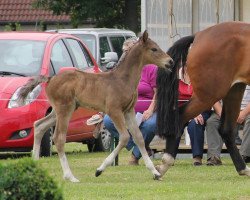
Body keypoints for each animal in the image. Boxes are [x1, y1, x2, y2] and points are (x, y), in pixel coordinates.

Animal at [18, 30, 174, 181]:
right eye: (154, 49)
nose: (170, 62)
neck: (122, 80)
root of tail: (50, 78)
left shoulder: (128, 111)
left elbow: (139, 137)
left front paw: (155, 173)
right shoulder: (114, 111)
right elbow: (124, 137)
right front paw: (99, 170)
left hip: (60, 110)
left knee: (39, 126)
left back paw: (35, 167)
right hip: (64, 109)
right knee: (58, 138)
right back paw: (70, 176)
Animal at [156, 21, 250, 178]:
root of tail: (199, 35)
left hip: (234, 89)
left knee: (226, 130)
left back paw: (243, 169)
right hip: (209, 94)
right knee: (181, 116)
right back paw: (164, 164)